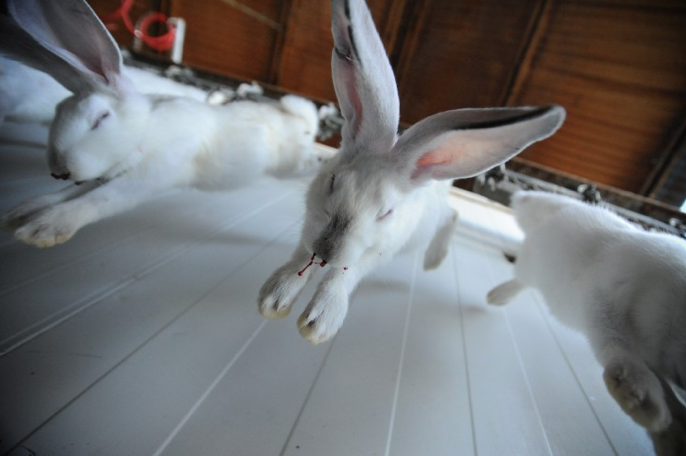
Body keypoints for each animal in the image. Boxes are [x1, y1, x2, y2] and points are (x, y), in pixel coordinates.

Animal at [0, 0, 333, 248]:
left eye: (100, 119)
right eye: (59, 110)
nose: (59, 171)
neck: (143, 134)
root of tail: (302, 122)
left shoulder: (147, 177)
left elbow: (100, 199)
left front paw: (44, 228)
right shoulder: (106, 175)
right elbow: (69, 193)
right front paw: (23, 213)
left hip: (290, 163)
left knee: (308, 160)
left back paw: (325, 159)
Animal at [256, 0, 566, 345]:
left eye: (386, 213)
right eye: (333, 182)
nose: (326, 251)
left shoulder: (379, 251)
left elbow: (343, 277)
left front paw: (319, 323)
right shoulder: (310, 227)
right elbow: (299, 258)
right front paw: (273, 299)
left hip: (428, 224)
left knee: (452, 215)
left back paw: (433, 261)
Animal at [486, 191, 686, 447]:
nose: (682, 381)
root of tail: (567, 210)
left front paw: (667, 432)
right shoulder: (603, 299)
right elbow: (615, 344)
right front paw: (642, 401)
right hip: (533, 265)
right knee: (522, 280)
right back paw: (497, 296)